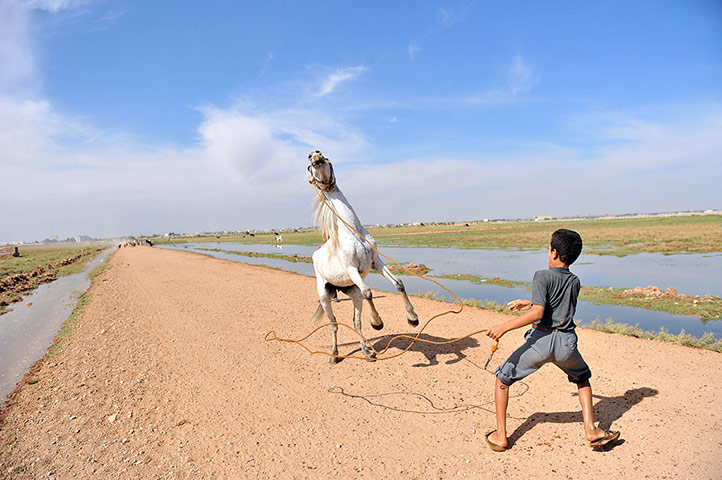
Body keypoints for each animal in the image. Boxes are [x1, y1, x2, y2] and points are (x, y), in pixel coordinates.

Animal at [307, 150, 419, 363]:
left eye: (326, 158)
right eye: (309, 167)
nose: (314, 155)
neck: (353, 233)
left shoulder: (375, 262)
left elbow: (398, 283)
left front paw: (413, 318)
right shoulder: (352, 269)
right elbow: (369, 292)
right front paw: (377, 322)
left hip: (353, 292)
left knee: (356, 321)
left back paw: (367, 350)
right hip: (325, 296)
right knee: (334, 324)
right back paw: (334, 354)